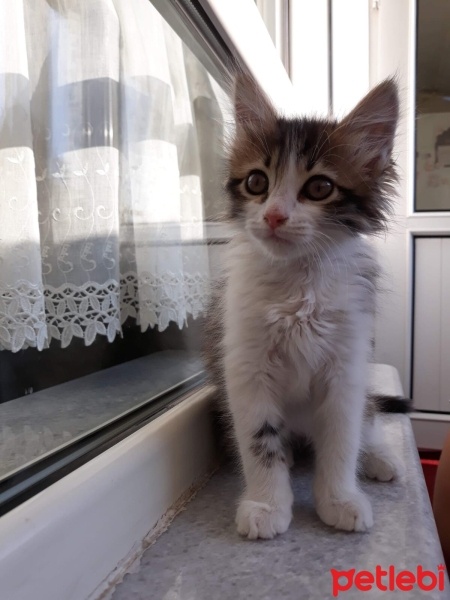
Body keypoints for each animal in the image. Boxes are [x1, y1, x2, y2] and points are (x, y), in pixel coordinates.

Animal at [204, 74, 408, 540]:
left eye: (320, 188)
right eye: (256, 182)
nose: (275, 216)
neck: (297, 282)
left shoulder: (347, 369)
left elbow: (342, 441)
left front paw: (340, 499)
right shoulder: (245, 368)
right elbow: (260, 442)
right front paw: (267, 504)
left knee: (369, 420)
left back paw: (379, 458)